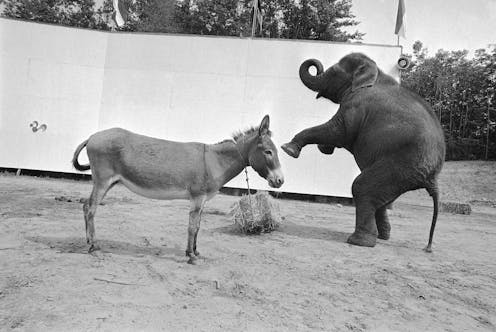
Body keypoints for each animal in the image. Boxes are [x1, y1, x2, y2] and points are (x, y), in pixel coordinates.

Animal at [282, 52, 446, 252]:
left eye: (334, 71)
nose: (316, 65)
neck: (375, 72)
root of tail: (433, 177)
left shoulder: (355, 106)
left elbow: (338, 132)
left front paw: (288, 149)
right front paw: (324, 149)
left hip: (402, 164)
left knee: (362, 188)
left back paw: (359, 241)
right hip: (405, 173)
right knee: (381, 199)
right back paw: (383, 237)